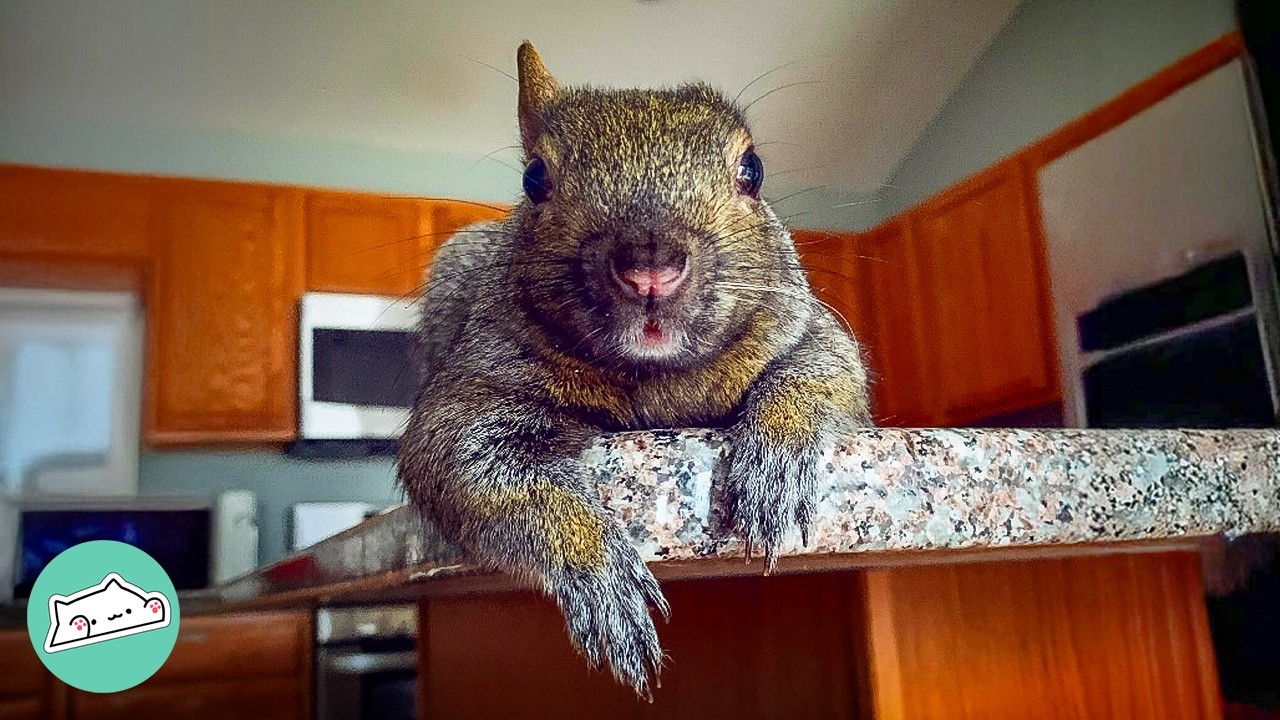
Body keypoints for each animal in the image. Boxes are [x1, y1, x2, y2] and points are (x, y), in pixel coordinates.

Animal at [397, 42, 872, 699]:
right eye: (534, 178)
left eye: (752, 169)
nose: (651, 267)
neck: (655, 377)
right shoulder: (469, 392)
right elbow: (473, 469)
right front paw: (599, 574)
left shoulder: (804, 326)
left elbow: (821, 374)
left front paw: (774, 466)